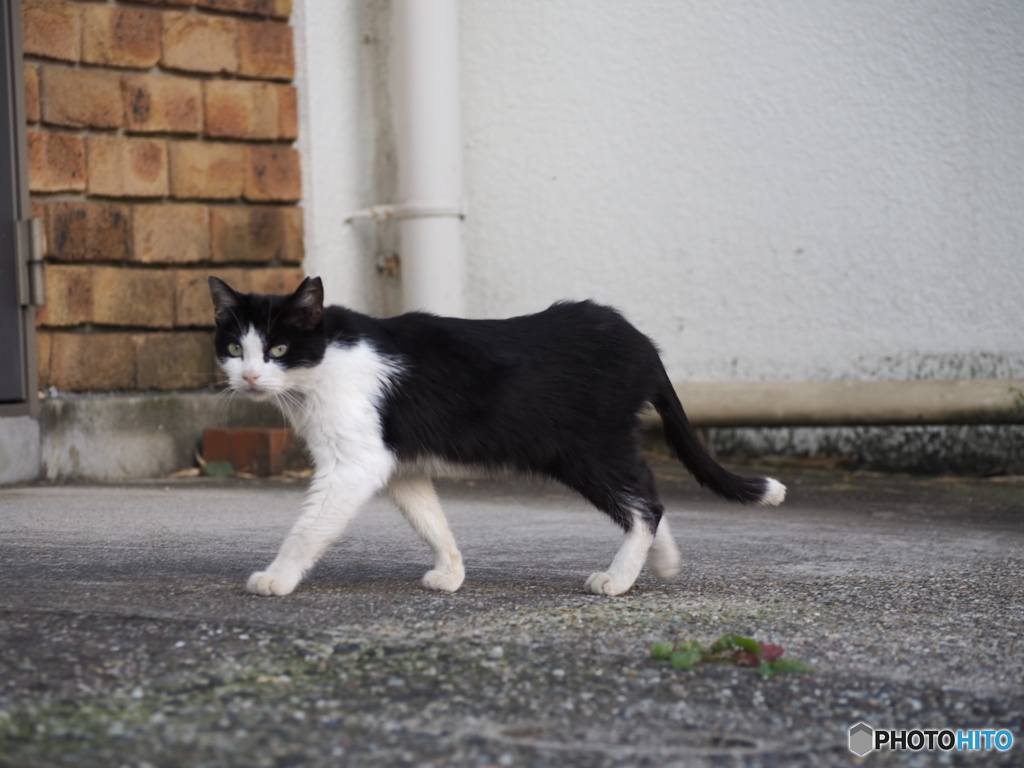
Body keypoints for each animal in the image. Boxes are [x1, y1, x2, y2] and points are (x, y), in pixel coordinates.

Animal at [205, 276, 782, 602]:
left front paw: (277, 577)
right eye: (234, 348)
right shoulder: (398, 462)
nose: (249, 377)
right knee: (645, 493)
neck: (325, 359)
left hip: (587, 448)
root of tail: (640, 340)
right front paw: (452, 572)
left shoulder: (354, 463)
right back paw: (659, 563)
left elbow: (308, 529)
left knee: (644, 504)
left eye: (279, 349)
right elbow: (431, 518)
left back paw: (617, 580)